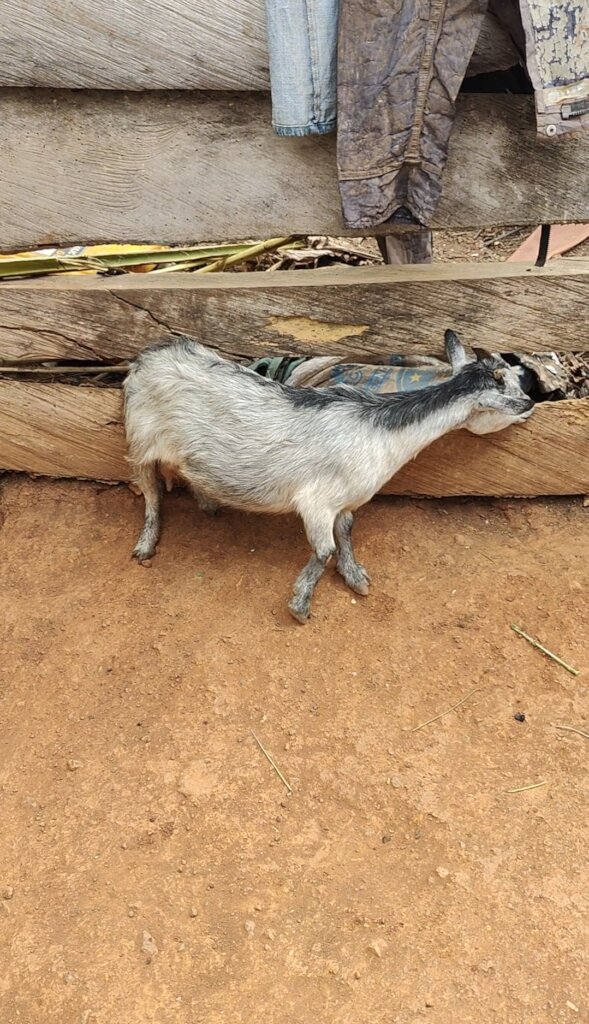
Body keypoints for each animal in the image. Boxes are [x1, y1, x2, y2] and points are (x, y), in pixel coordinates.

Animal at [123, 330, 534, 623]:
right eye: (513, 392)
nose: (532, 405)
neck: (378, 431)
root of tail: (147, 357)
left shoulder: (346, 500)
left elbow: (347, 533)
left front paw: (355, 576)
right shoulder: (315, 503)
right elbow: (325, 550)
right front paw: (300, 604)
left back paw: (207, 500)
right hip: (141, 437)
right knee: (151, 492)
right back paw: (146, 543)